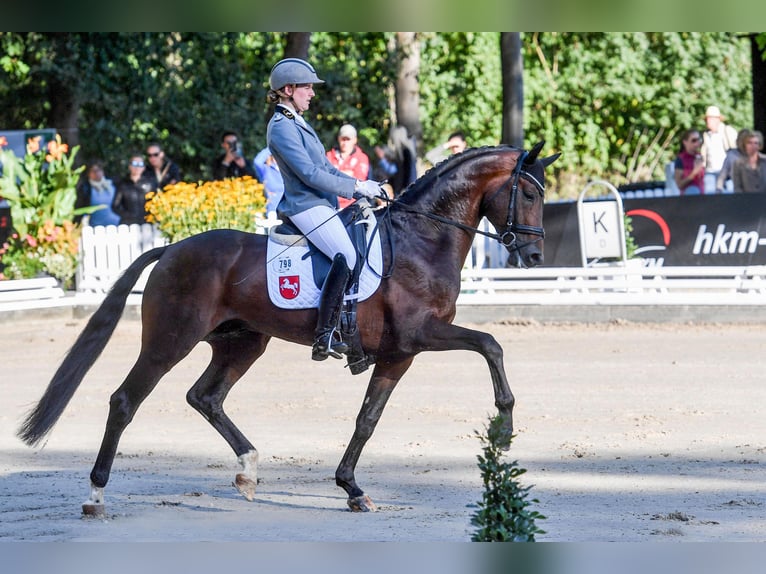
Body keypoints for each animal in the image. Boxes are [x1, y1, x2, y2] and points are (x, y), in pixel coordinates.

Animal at [16, 143, 560, 516]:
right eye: (531, 193)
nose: (535, 255)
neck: (422, 239)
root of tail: (171, 249)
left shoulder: (397, 354)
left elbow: (367, 419)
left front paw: (352, 489)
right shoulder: (419, 336)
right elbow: (491, 344)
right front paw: (503, 428)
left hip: (241, 343)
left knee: (205, 397)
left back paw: (248, 471)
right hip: (170, 342)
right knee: (126, 401)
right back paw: (96, 494)